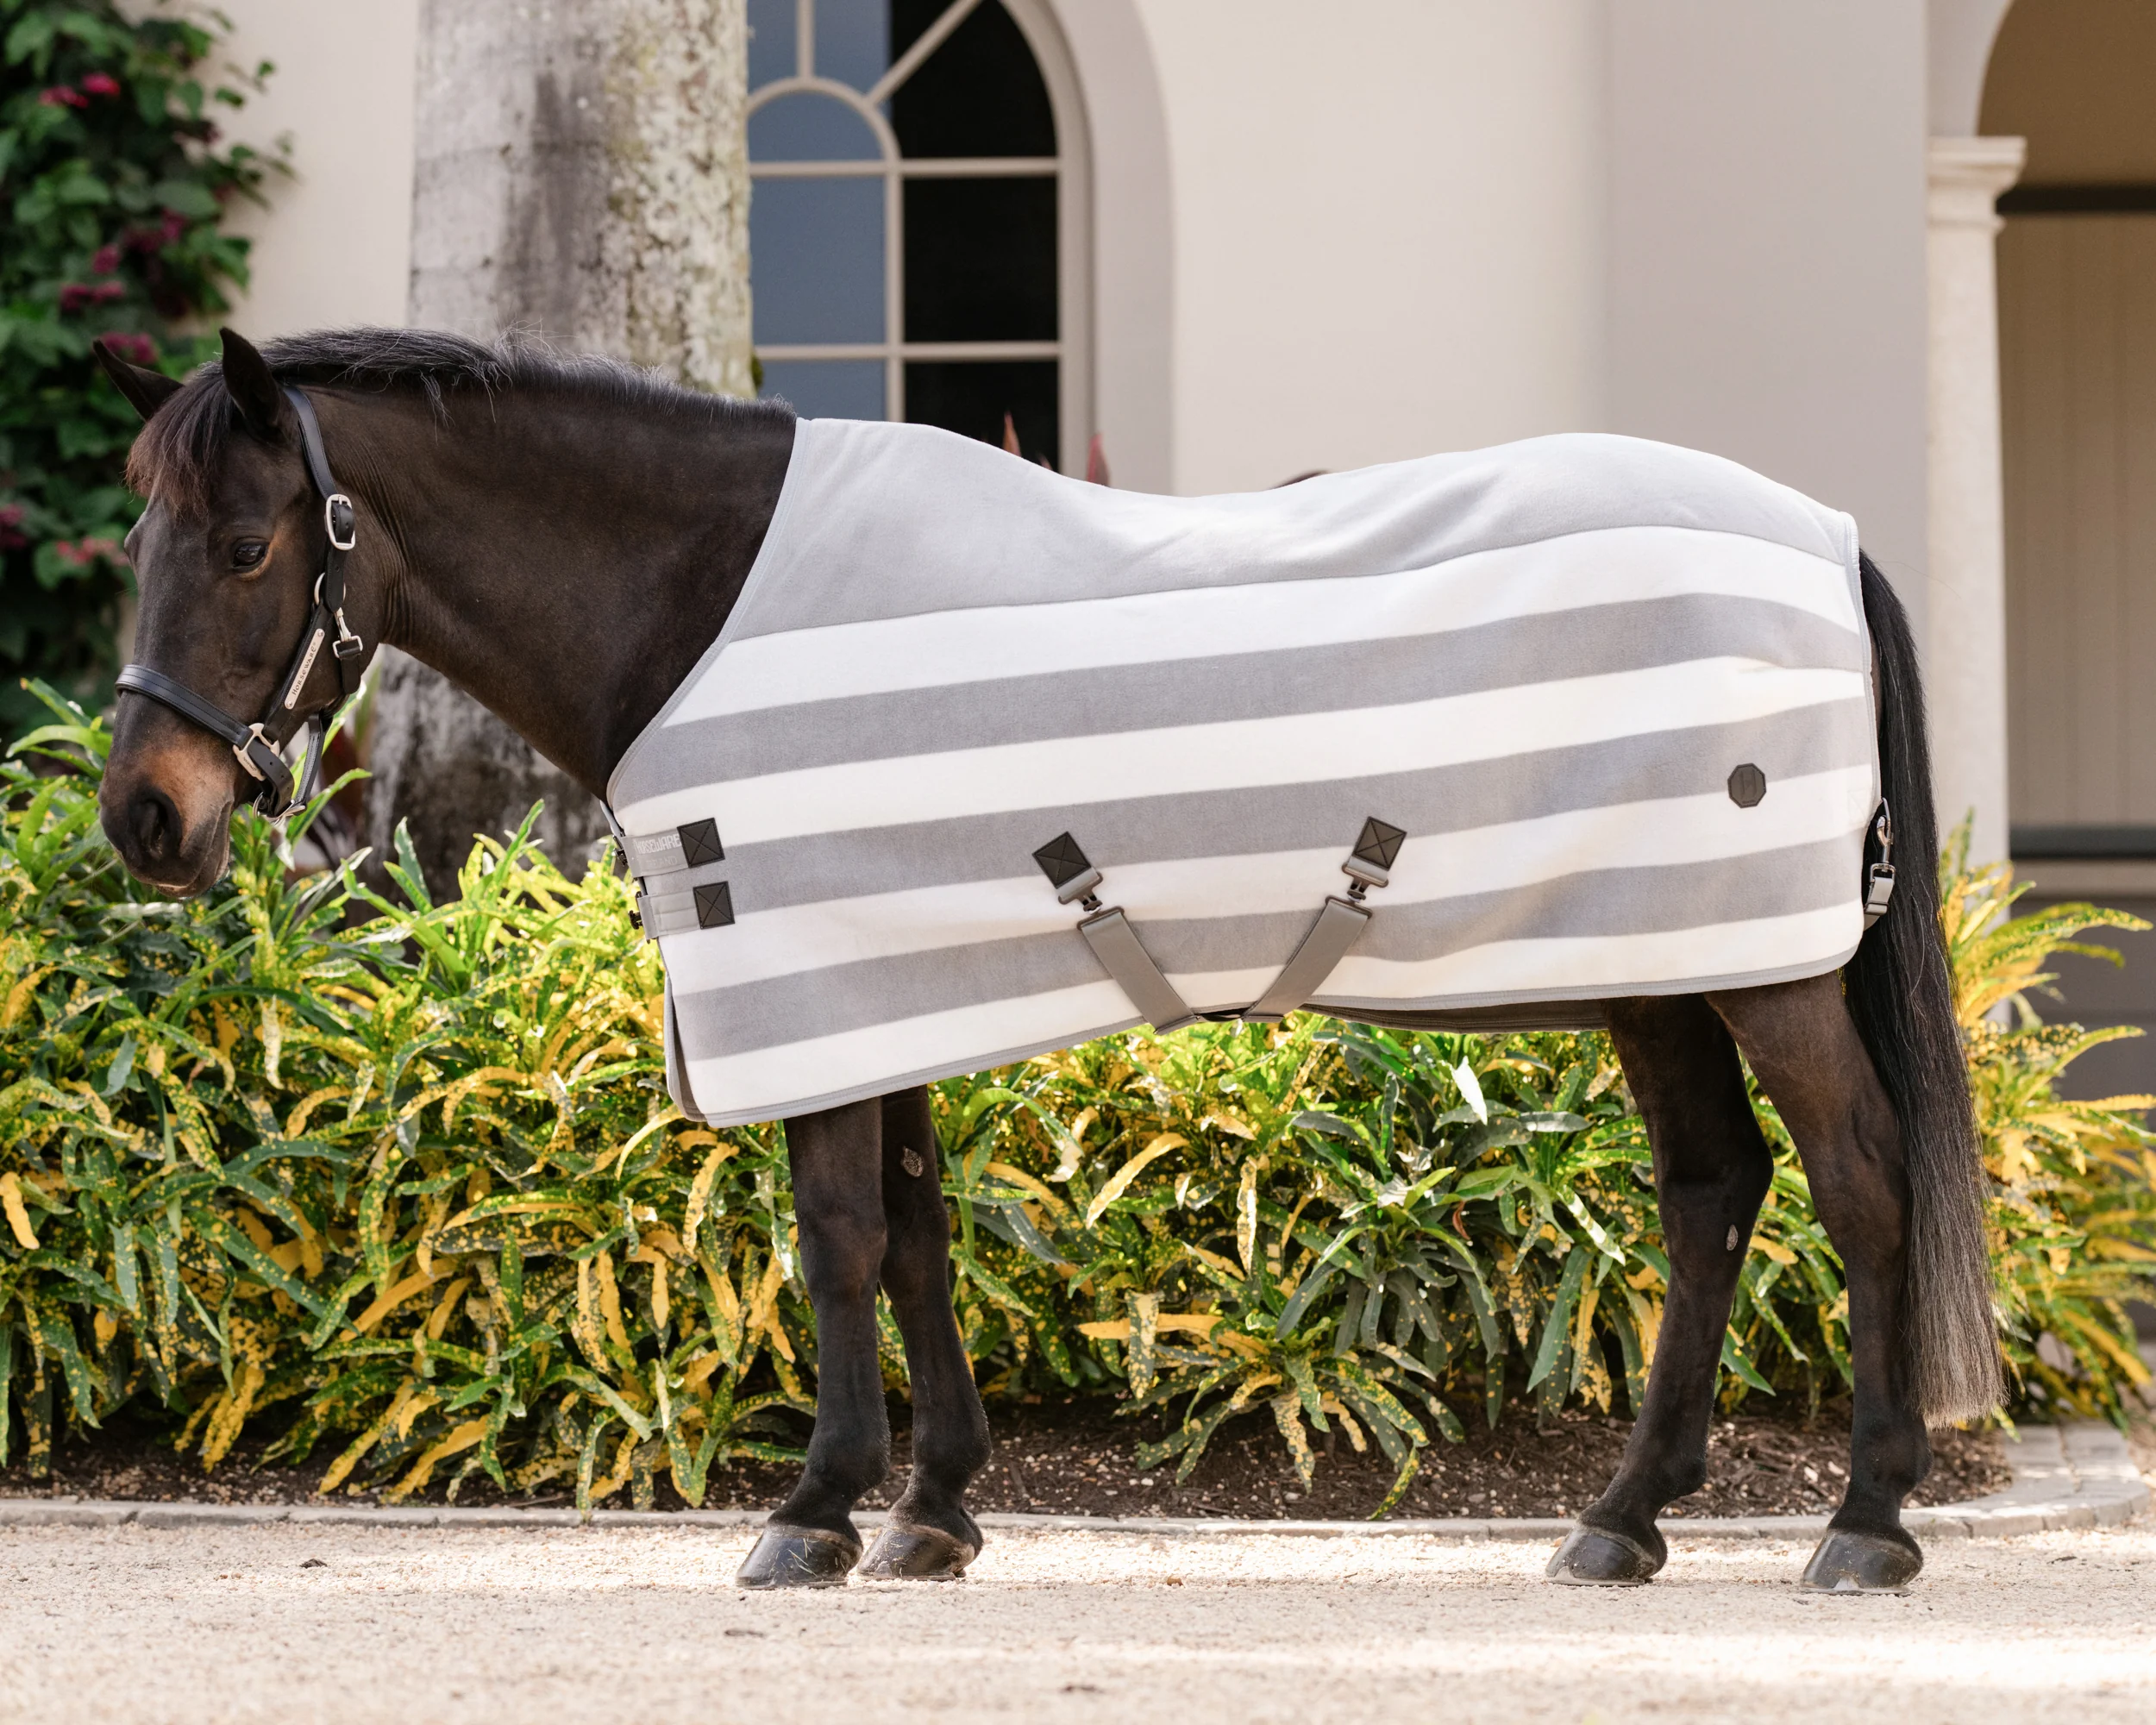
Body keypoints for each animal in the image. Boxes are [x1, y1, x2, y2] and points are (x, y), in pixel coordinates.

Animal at [91, 327, 2000, 1593]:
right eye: (139, 540)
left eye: (247, 545)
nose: (144, 818)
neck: (703, 603)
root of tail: (1827, 538)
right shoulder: (888, 989)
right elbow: (915, 1235)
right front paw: (932, 1509)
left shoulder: (814, 978)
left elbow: (838, 1240)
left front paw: (815, 1512)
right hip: (1662, 959)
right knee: (1712, 1189)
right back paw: (1623, 1520)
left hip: (1755, 968)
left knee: (1857, 1179)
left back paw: (1863, 1525)